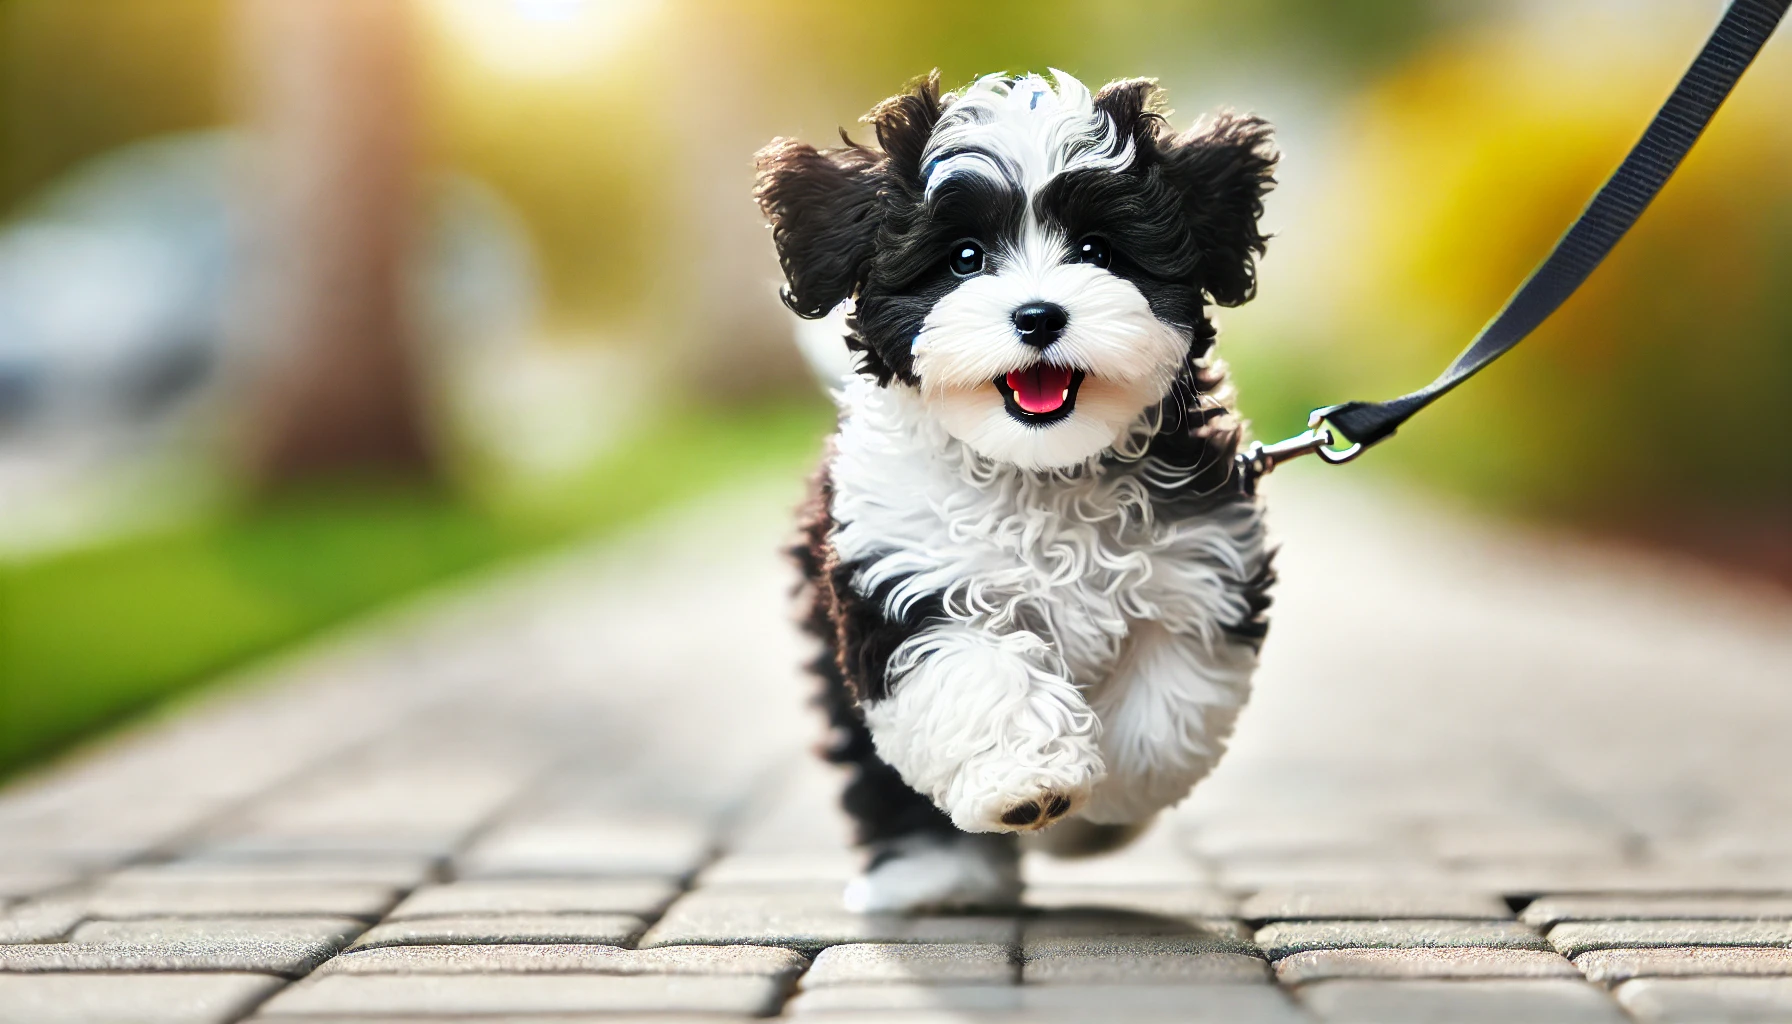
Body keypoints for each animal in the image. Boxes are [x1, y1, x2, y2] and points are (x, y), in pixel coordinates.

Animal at [763, 72, 1283, 914]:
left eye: (1098, 251)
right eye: (965, 258)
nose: (1039, 315)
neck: (1042, 470)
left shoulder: (1201, 563)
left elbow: (1164, 711)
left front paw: (1101, 808)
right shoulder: (903, 571)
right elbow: (977, 671)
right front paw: (1030, 786)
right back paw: (935, 872)